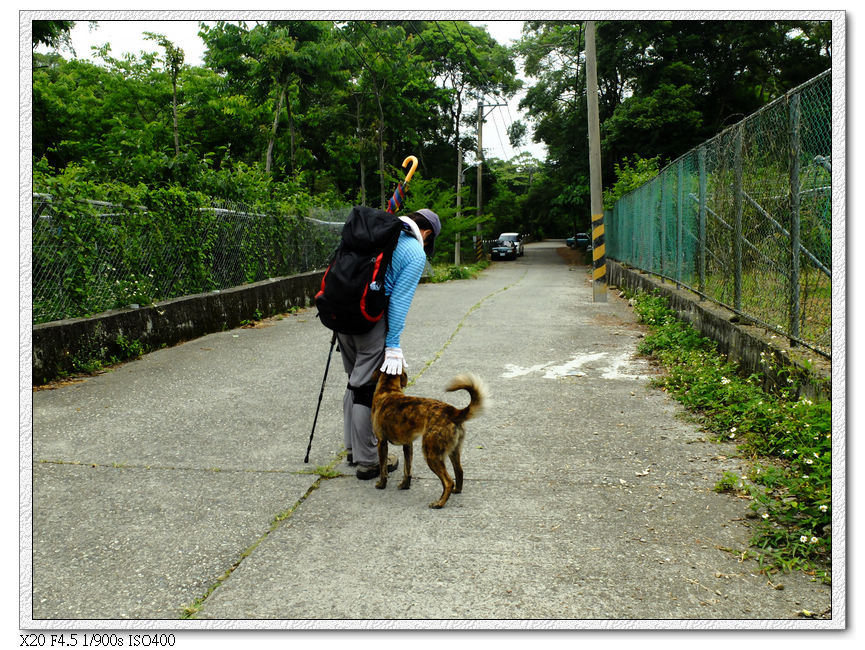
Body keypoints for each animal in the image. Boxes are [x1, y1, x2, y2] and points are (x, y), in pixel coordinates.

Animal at [372, 370, 486, 506]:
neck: (388, 390)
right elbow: (407, 469)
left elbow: (383, 468)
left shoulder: (381, 442)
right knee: (459, 471)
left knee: (448, 481)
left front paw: (381, 484)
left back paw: (439, 503)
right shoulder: (408, 444)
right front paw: (405, 485)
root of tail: (453, 412)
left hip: (431, 454)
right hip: (453, 451)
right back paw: (456, 490)